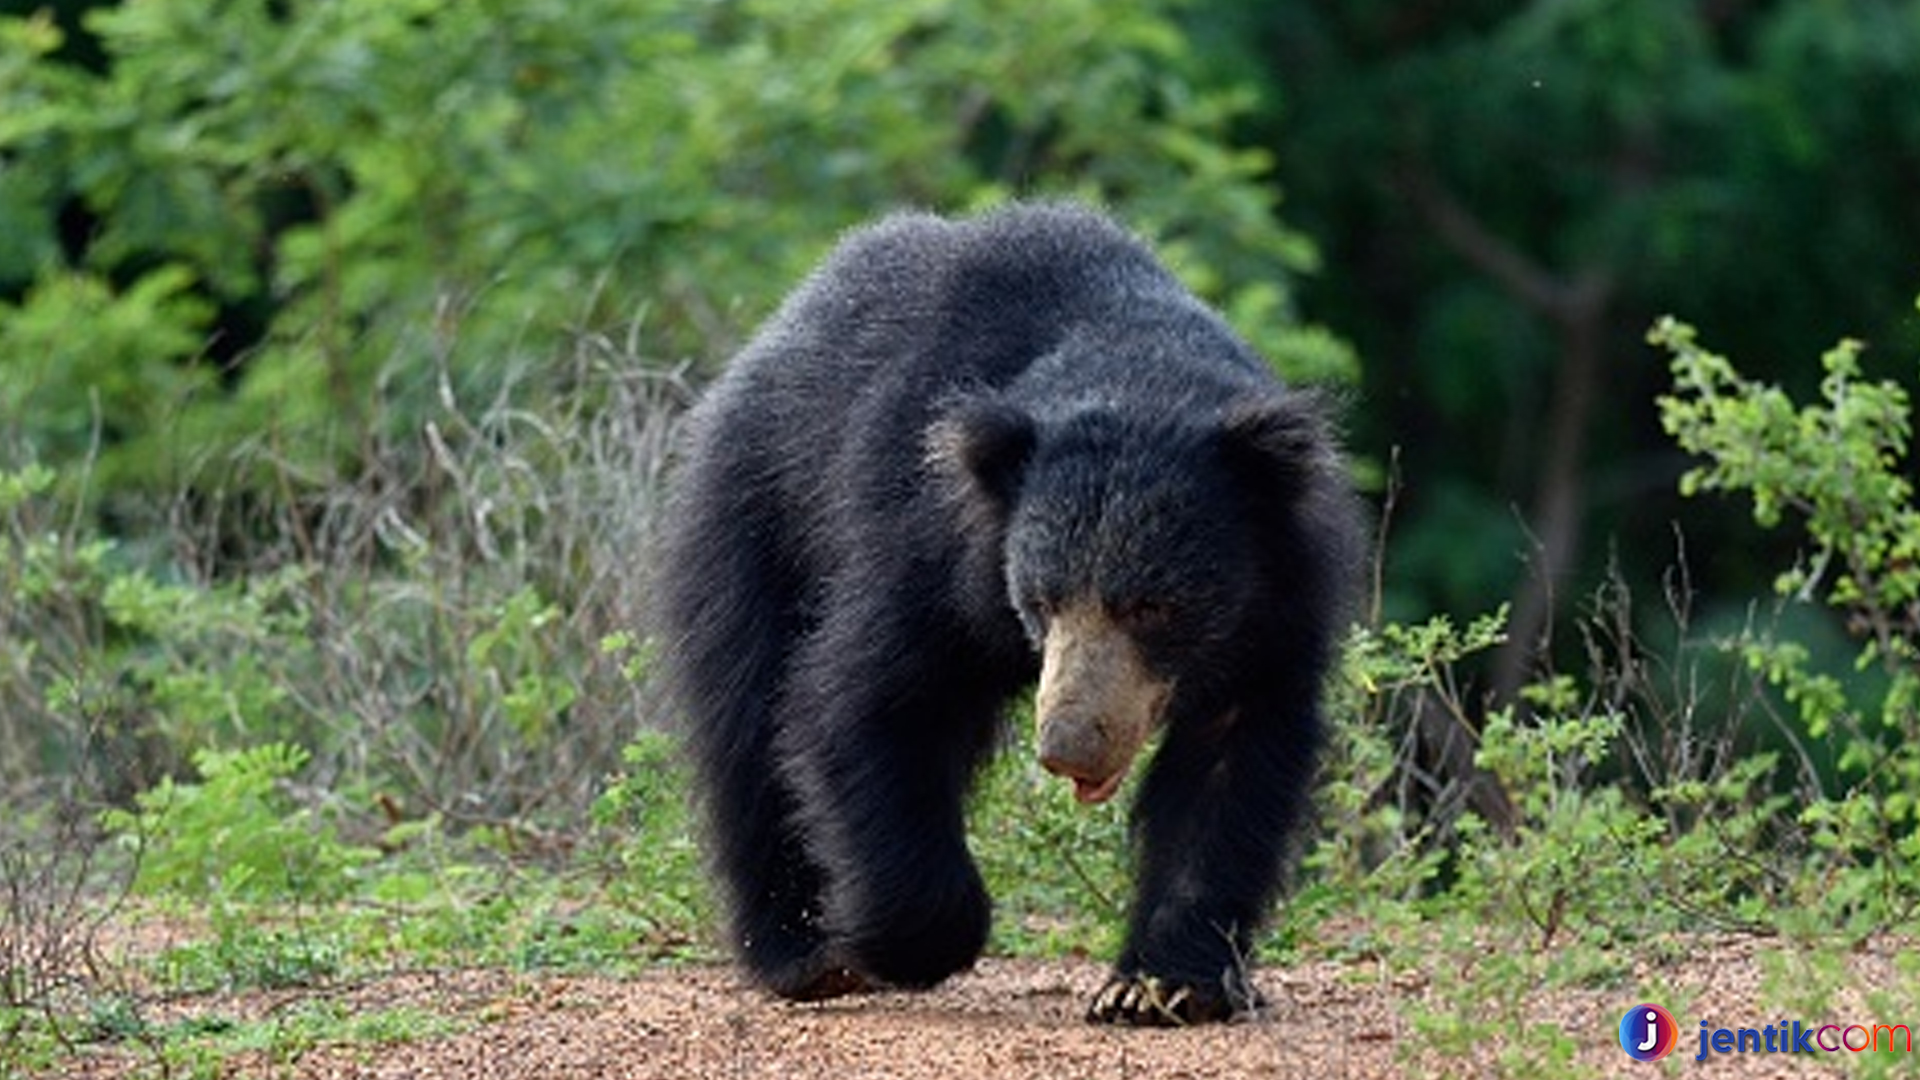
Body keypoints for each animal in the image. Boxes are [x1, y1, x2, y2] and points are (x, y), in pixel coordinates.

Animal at [660, 199, 1367, 1014]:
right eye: (1040, 601)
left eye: (1154, 607)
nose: (1068, 747)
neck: (1134, 368)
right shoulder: (931, 544)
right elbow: (864, 698)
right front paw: (897, 942)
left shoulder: (1278, 600)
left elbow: (1231, 764)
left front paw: (1157, 989)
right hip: (758, 520)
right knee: (746, 724)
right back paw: (802, 955)